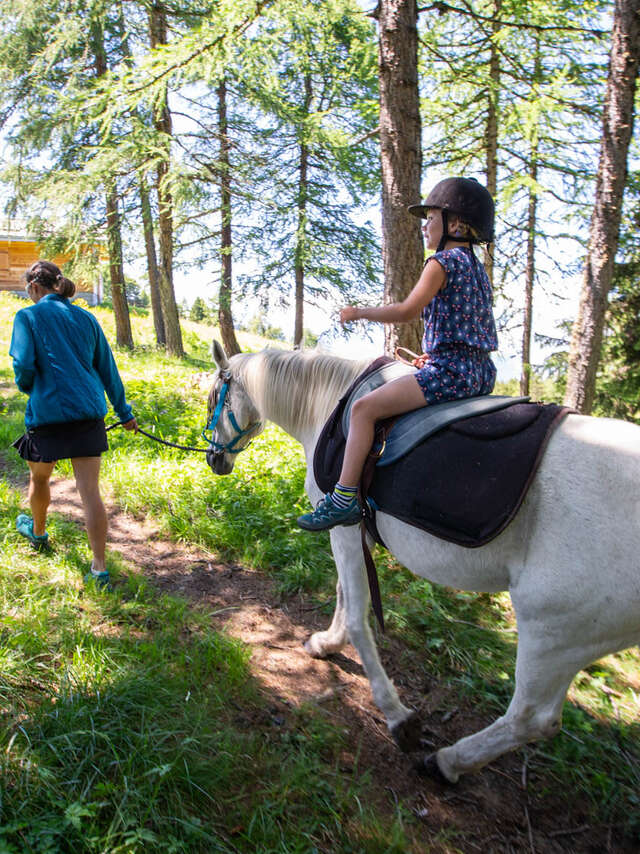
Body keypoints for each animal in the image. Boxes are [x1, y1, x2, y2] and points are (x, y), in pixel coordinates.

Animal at [205, 344, 640, 784]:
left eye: (211, 400)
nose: (213, 459)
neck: (328, 402)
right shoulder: (355, 534)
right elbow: (345, 596)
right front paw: (328, 643)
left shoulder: (342, 528)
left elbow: (358, 614)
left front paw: (397, 715)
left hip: (553, 631)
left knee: (532, 718)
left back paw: (447, 761)